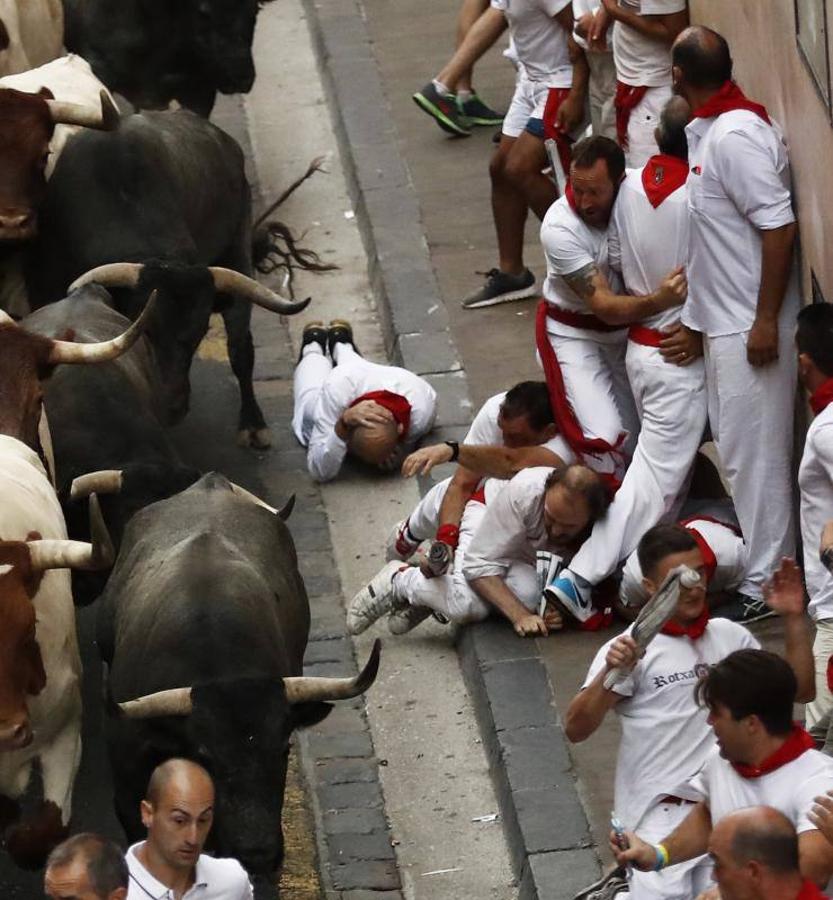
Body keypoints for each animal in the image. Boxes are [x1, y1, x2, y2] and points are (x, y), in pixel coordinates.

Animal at [28, 110, 312, 448]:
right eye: (144, 330)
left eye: (200, 332)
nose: (173, 407)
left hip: (239, 254)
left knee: (240, 348)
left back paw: (253, 424)